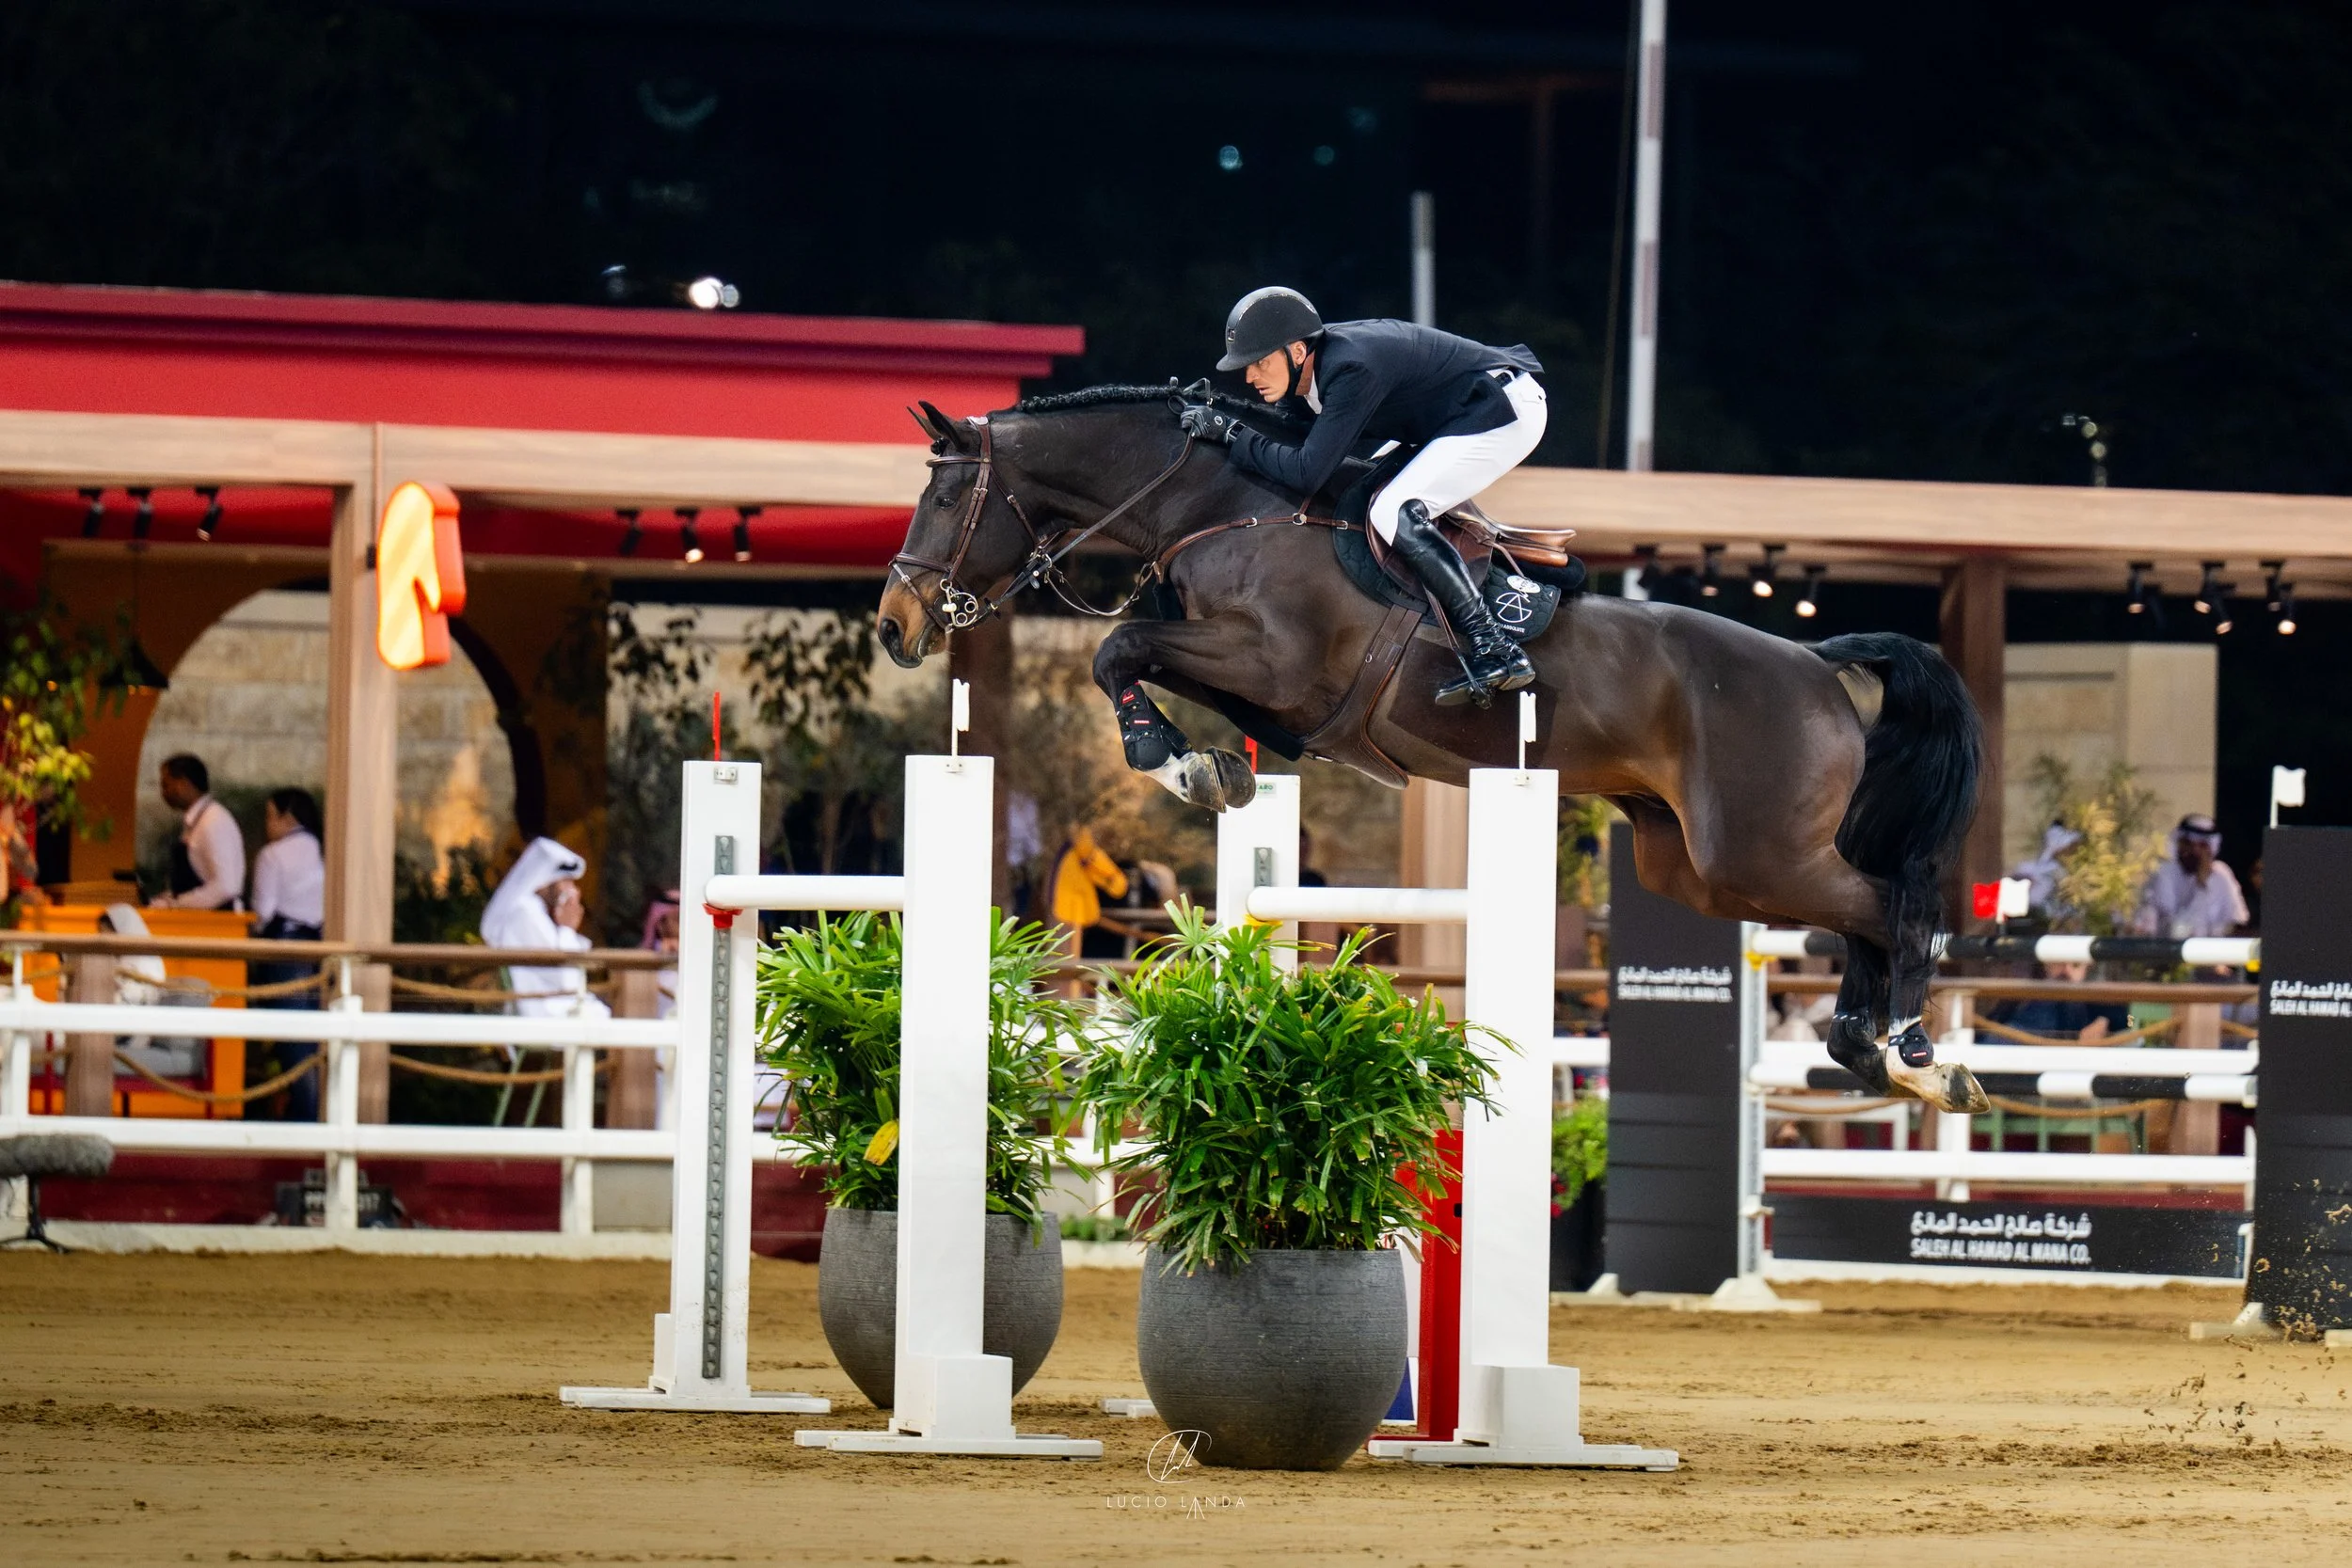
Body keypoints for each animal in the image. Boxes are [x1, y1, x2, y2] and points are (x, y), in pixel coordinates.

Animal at [876, 385, 1989, 1114]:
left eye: (943, 499)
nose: (893, 626)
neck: (1225, 507)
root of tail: (1815, 658)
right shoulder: (1266, 686)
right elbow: (1144, 657)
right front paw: (1210, 766)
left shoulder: (1275, 663)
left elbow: (1119, 647)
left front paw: (1173, 757)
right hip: (1698, 867)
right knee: (1860, 915)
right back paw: (1872, 1050)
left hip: (1752, 851)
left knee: (1891, 904)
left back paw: (1917, 1055)